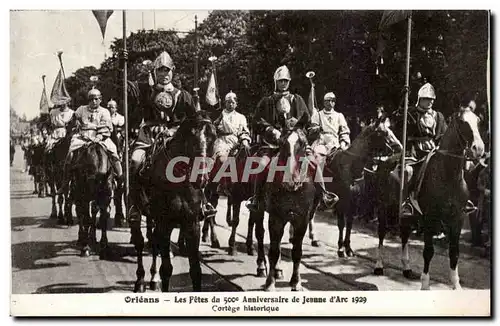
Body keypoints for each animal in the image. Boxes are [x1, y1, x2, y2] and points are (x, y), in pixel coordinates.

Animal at [132, 111, 218, 292]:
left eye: (213, 137)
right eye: (191, 138)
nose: (201, 178)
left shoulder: (192, 224)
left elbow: (195, 270)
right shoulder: (165, 223)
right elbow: (166, 269)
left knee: (153, 242)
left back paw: (153, 278)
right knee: (140, 242)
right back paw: (140, 281)